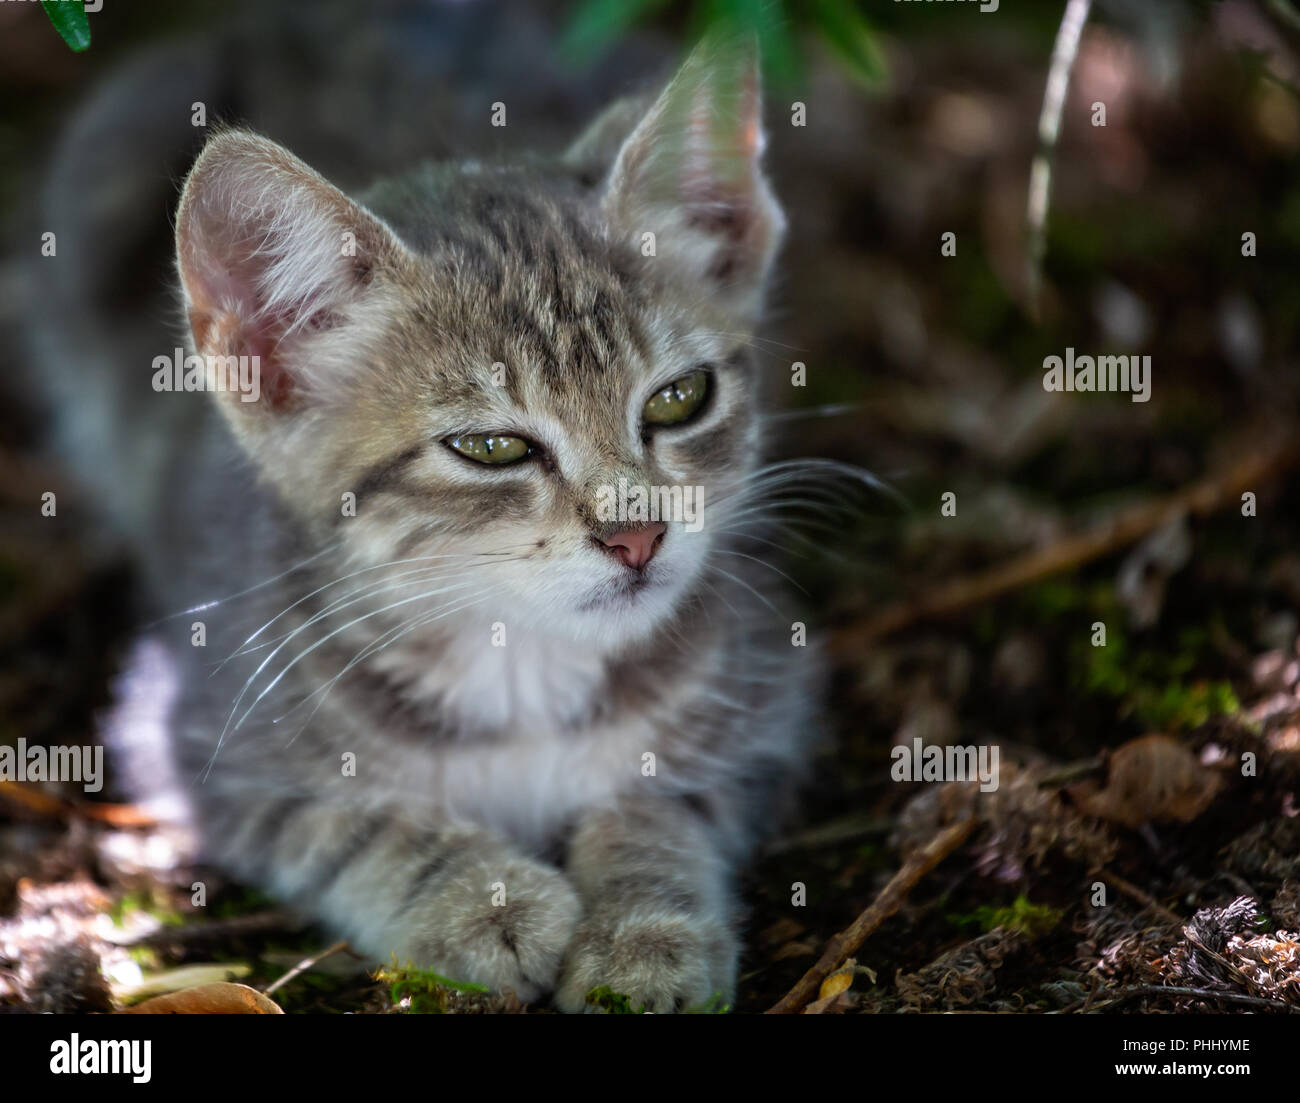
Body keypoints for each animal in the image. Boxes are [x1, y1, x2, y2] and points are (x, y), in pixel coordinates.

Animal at [86, 30, 816, 1014]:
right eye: (489, 446)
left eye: (679, 398)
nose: (637, 535)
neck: (520, 667)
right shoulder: (196, 742)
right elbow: (342, 824)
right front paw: (479, 899)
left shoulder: (769, 705)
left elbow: (666, 800)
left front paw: (644, 925)